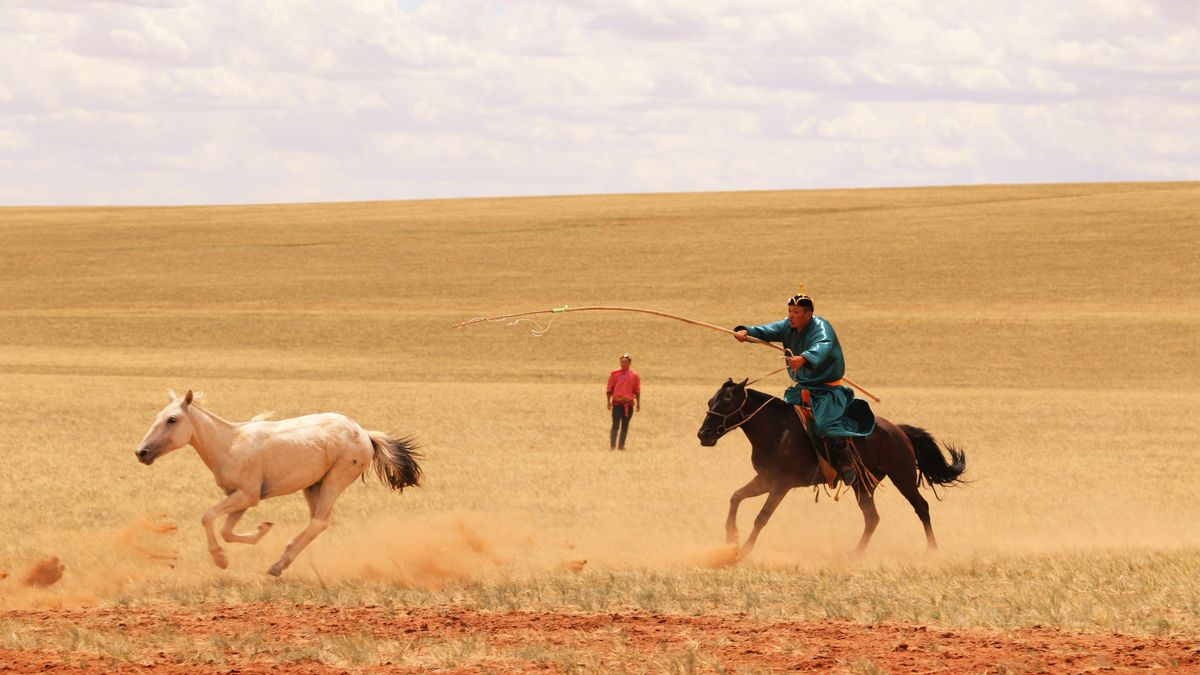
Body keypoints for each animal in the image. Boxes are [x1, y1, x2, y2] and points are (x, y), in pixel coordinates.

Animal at [130, 389, 420, 571]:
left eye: (171, 419)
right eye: (157, 417)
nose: (141, 452)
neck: (229, 444)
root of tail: (365, 434)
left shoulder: (247, 496)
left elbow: (208, 516)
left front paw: (220, 560)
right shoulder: (240, 498)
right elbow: (226, 531)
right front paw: (262, 529)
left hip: (335, 480)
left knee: (319, 522)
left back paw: (278, 566)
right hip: (313, 486)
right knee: (316, 522)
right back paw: (284, 556)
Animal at [696, 379, 964, 557]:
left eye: (727, 401)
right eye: (710, 400)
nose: (704, 434)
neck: (777, 430)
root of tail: (899, 430)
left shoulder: (781, 484)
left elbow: (762, 517)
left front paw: (744, 551)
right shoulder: (765, 479)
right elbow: (736, 497)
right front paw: (731, 536)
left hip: (903, 476)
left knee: (921, 507)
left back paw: (932, 549)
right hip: (863, 484)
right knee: (872, 518)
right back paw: (856, 554)